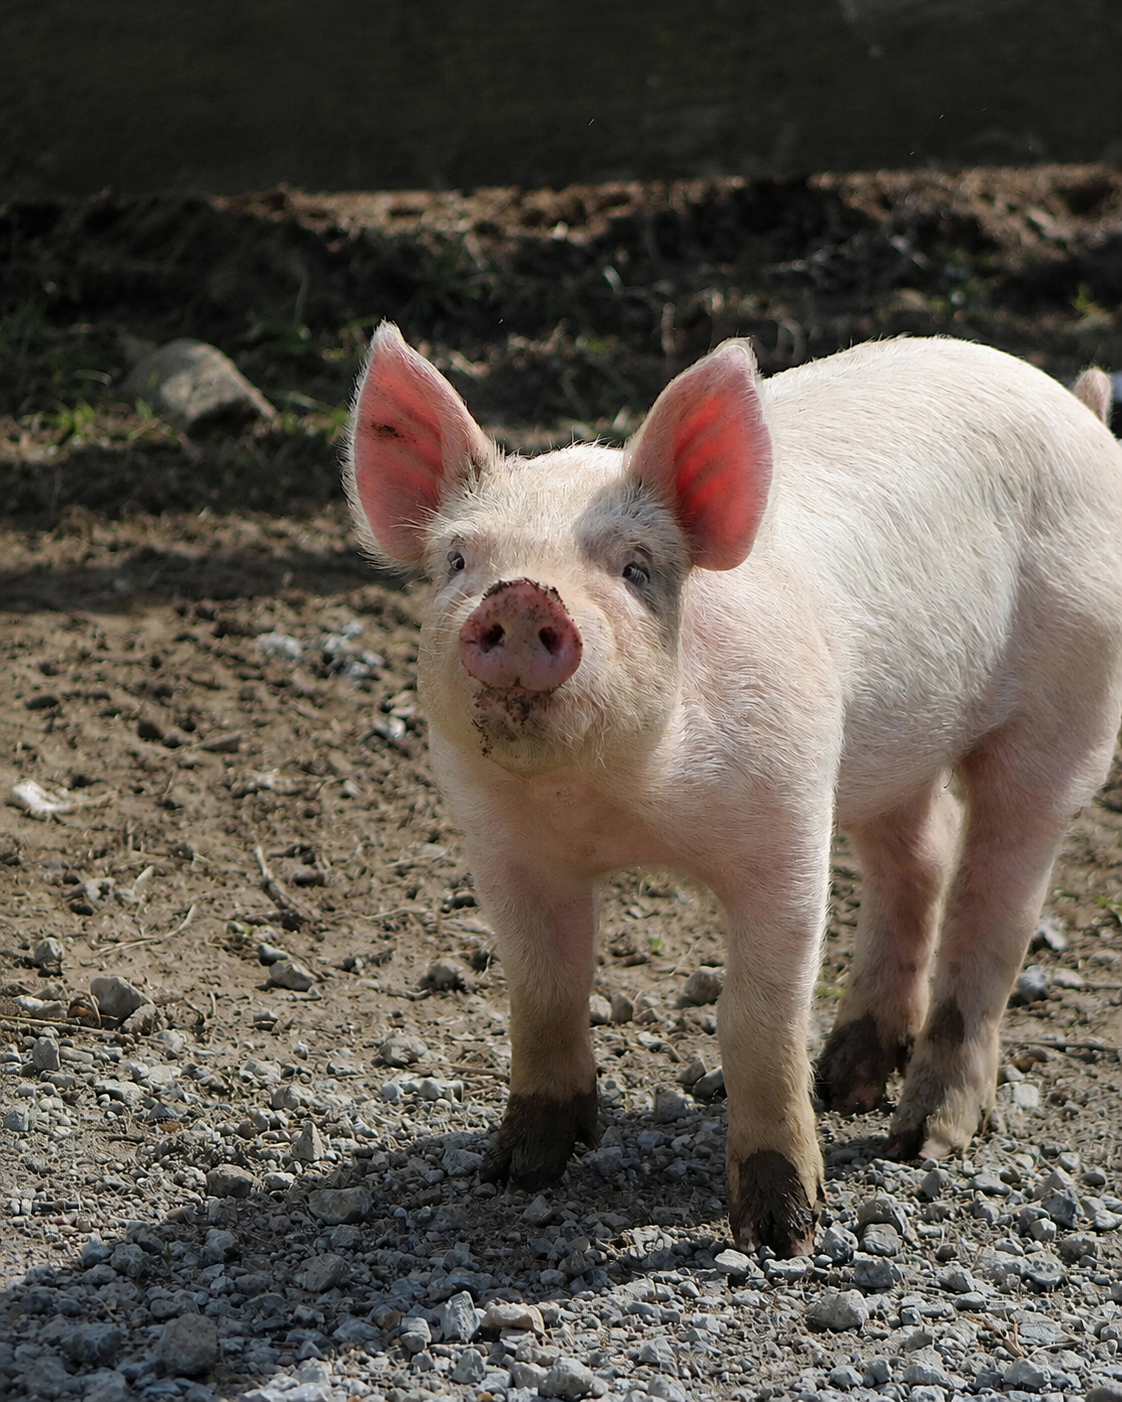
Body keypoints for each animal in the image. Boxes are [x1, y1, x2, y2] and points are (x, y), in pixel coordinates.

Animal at [345, 322, 1122, 1256]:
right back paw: (844, 1082)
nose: (525, 596)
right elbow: (542, 989)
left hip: (1071, 700)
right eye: (458, 560)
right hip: (883, 745)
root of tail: (1079, 409)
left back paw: (920, 1139)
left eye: (636, 568)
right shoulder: (498, 843)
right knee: (921, 856)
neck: (613, 802)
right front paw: (515, 1172)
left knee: (999, 904)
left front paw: (782, 1237)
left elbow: (754, 1019)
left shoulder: (785, 822)